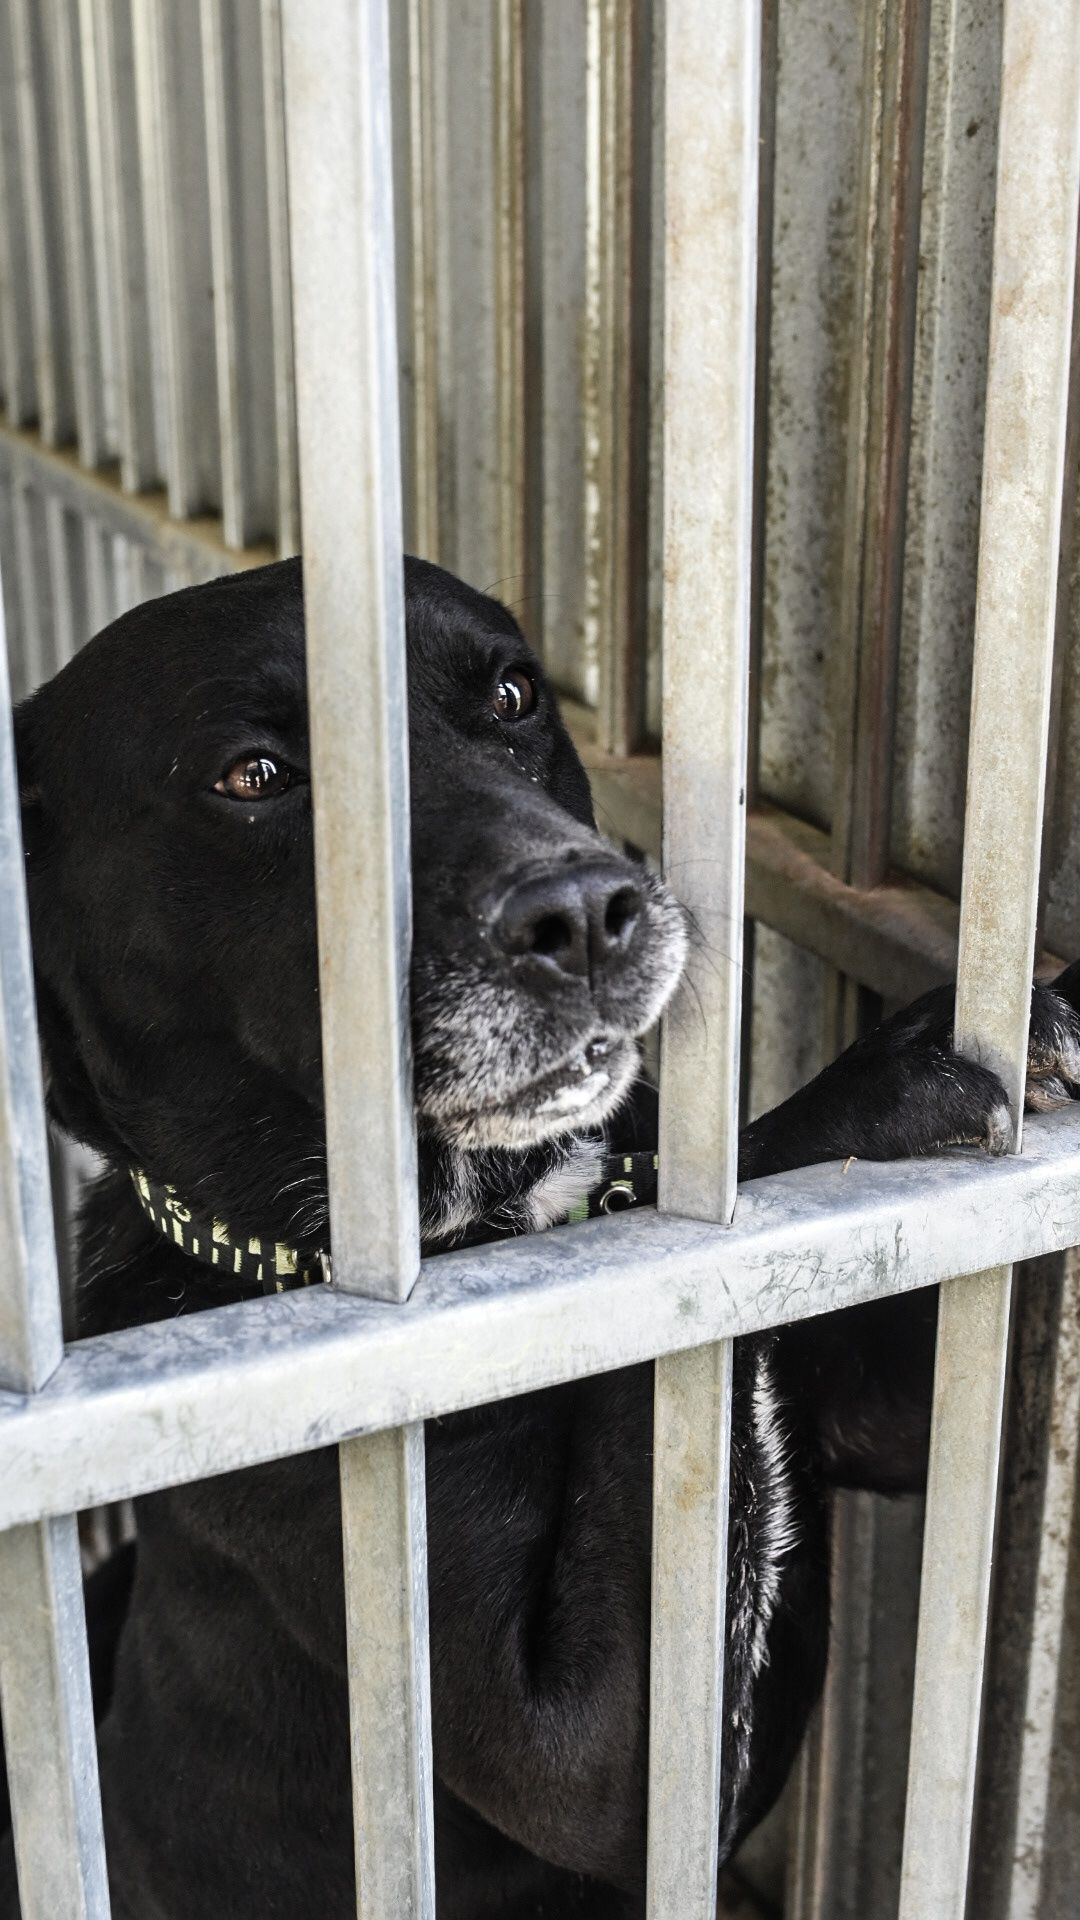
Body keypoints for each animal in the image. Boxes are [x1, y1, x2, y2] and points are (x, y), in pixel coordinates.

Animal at [2, 549, 1076, 1912]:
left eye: (513, 695)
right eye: (253, 776)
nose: (585, 912)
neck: (497, 1227)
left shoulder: (878, 1409)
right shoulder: (587, 1749)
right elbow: (719, 1234)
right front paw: (883, 1080)